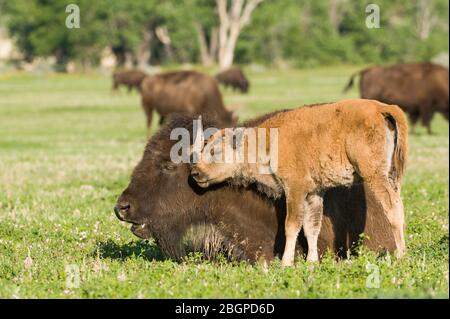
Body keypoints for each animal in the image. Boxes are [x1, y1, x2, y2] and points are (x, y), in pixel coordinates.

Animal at [192, 99, 410, 268]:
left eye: (215, 151)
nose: (195, 172)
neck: (269, 141)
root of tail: (382, 108)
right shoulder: (314, 194)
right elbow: (311, 227)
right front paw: (312, 262)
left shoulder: (294, 189)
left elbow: (291, 225)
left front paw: (286, 263)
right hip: (391, 176)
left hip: (375, 176)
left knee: (392, 208)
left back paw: (400, 255)